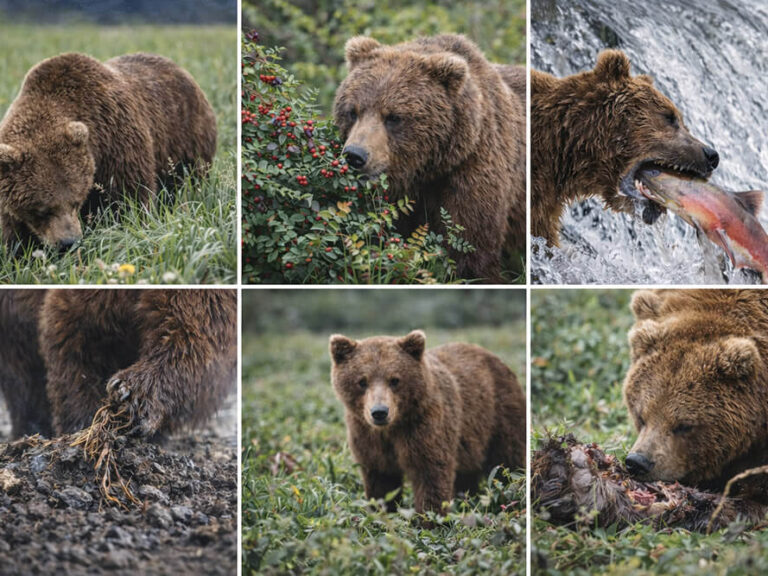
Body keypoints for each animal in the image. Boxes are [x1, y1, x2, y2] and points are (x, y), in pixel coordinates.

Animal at [0, 52, 217, 251]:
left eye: (75, 202)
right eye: (41, 209)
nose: (68, 242)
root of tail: (180, 68)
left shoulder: (116, 142)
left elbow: (129, 200)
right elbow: (13, 231)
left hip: (186, 140)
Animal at [329, 330, 526, 514]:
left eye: (395, 380)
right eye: (362, 381)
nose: (379, 412)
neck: (393, 427)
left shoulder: (424, 428)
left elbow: (430, 474)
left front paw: (429, 518)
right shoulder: (366, 436)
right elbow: (381, 482)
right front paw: (382, 511)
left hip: (498, 417)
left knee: (507, 462)